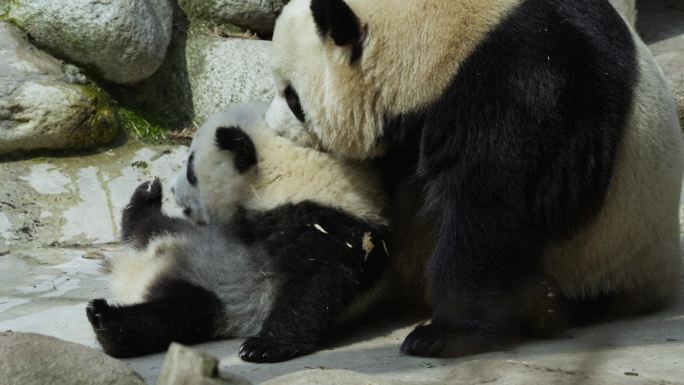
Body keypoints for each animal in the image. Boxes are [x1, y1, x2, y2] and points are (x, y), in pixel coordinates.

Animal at [87, 101, 390, 360]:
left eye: (191, 170)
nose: (173, 189)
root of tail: (137, 277)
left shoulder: (328, 224)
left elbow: (317, 281)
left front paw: (263, 346)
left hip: (218, 301)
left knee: (168, 316)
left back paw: (105, 321)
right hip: (185, 239)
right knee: (151, 227)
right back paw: (146, 196)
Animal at [266, 0, 684, 356]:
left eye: (293, 98)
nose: (273, 126)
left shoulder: (526, 79)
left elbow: (493, 208)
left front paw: (439, 335)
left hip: (605, 252)